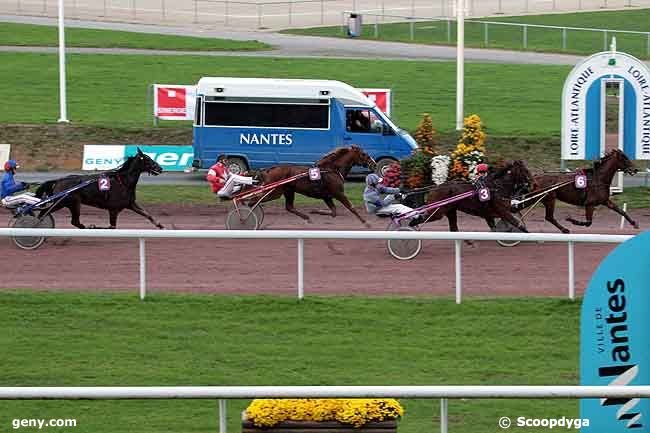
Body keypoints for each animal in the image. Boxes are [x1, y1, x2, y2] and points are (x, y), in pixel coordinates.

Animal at [34, 148, 165, 230]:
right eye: (147, 159)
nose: (160, 168)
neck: (123, 182)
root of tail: (58, 181)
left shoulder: (130, 203)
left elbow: (146, 214)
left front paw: (160, 225)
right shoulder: (113, 209)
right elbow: (112, 227)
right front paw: (95, 226)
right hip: (67, 203)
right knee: (47, 215)